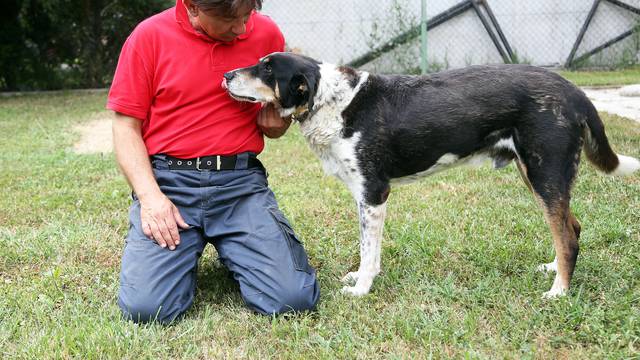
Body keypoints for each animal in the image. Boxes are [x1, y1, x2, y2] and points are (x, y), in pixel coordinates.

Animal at [221, 51, 640, 298]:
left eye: (267, 68)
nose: (225, 75)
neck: (332, 103)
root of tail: (574, 91)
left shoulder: (373, 194)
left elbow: (368, 251)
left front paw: (362, 289)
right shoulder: (365, 198)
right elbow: (368, 250)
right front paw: (360, 280)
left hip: (545, 172)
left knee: (566, 235)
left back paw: (559, 292)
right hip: (536, 173)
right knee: (572, 226)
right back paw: (554, 270)